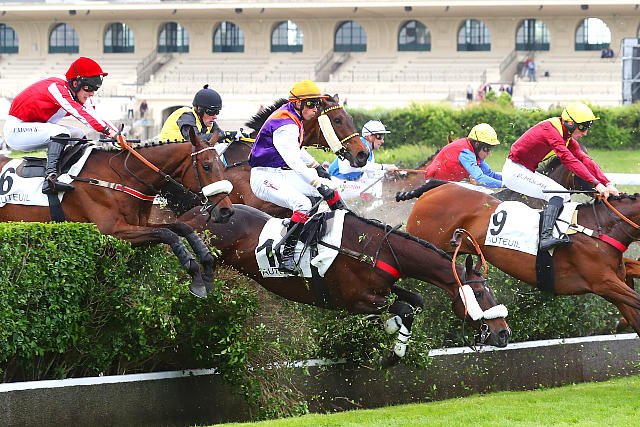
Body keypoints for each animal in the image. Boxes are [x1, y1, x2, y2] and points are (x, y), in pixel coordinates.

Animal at [0, 127, 234, 299]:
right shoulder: (112, 231)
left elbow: (181, 227)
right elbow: (168, 234)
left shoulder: (141, 224)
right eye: (206, 166)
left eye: (223, 166)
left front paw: (207, 269)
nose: (226, 211)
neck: (122, 178)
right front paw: (196, 276)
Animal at [179, 203, 511, 365]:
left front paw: (395, 346)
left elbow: (415, 302)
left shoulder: (383, 287)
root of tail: (202, 211)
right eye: (479, 292)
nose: (503, 333)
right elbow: (401, 310)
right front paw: (391, 350)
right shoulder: (356, 300)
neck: (377, 249)